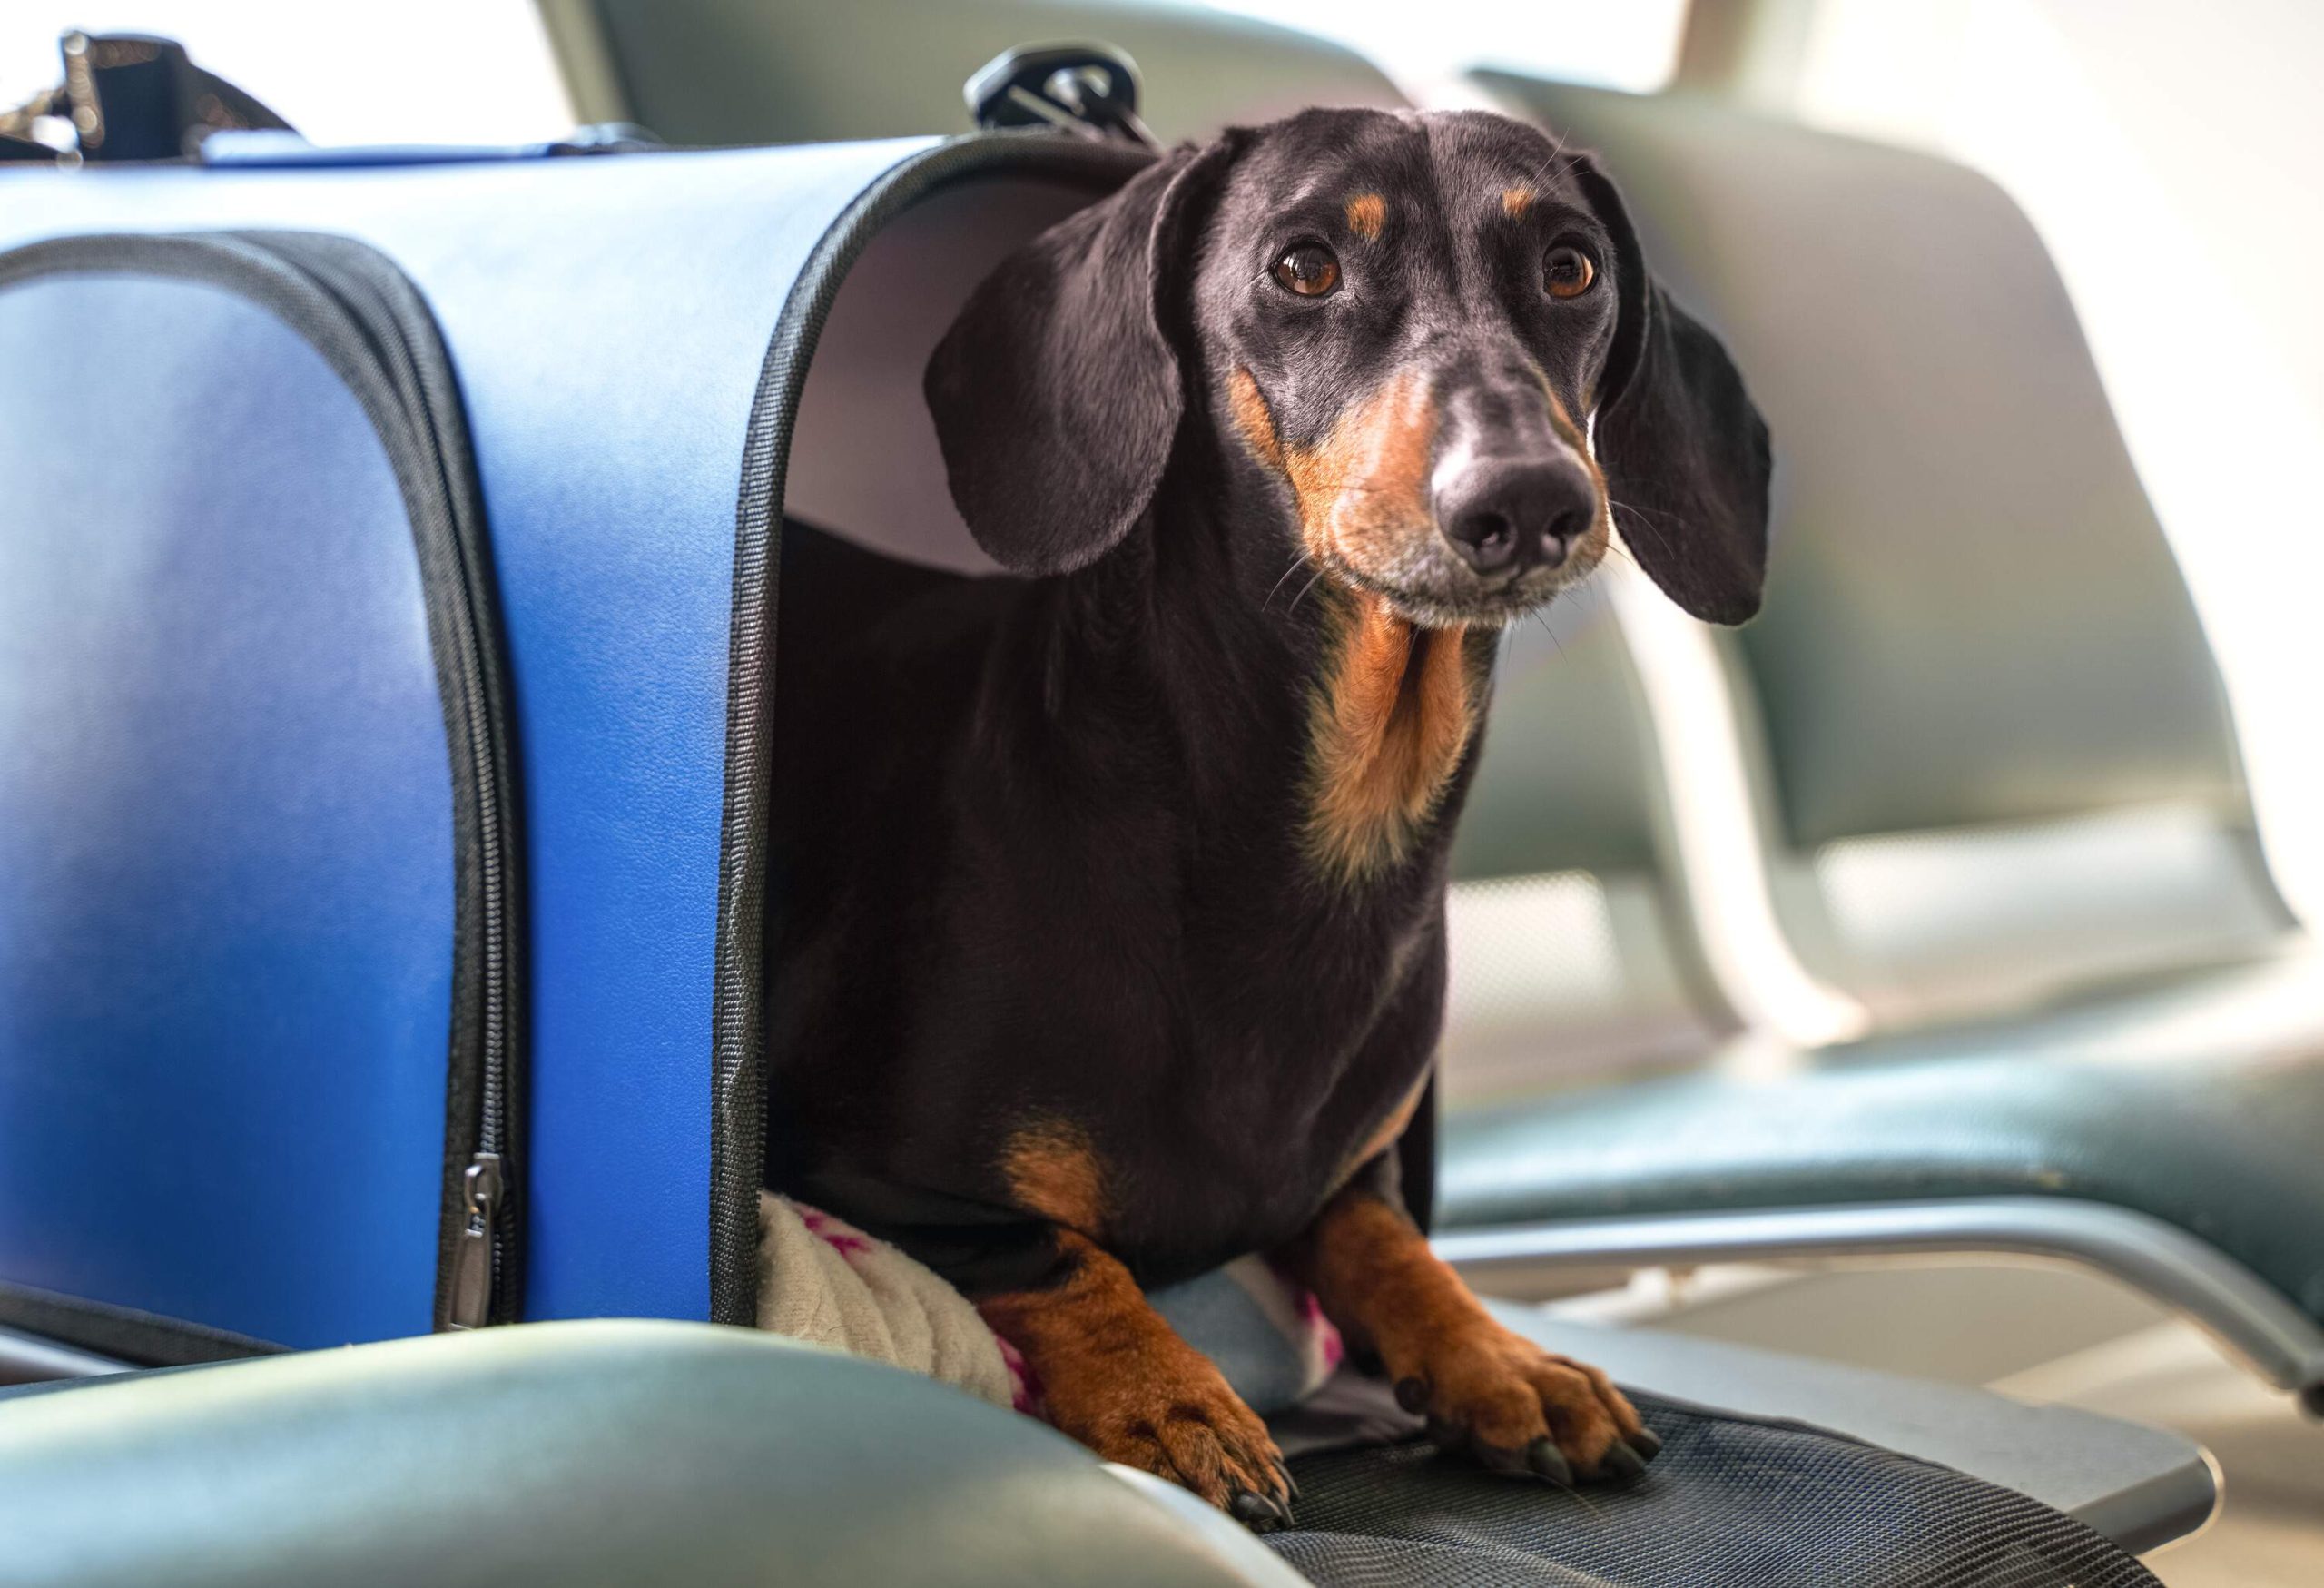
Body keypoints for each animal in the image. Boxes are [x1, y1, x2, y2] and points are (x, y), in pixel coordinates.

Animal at [762, 108, 1757, 1524]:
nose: (1529, 501)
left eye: (1571, 268)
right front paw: (1170, 1397)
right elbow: (1056, 1250)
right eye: (1302, 267)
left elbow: (1379, 1235)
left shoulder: (1349, 1178)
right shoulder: (853, 1163)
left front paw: (1502, 1359)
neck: (1309, 843)